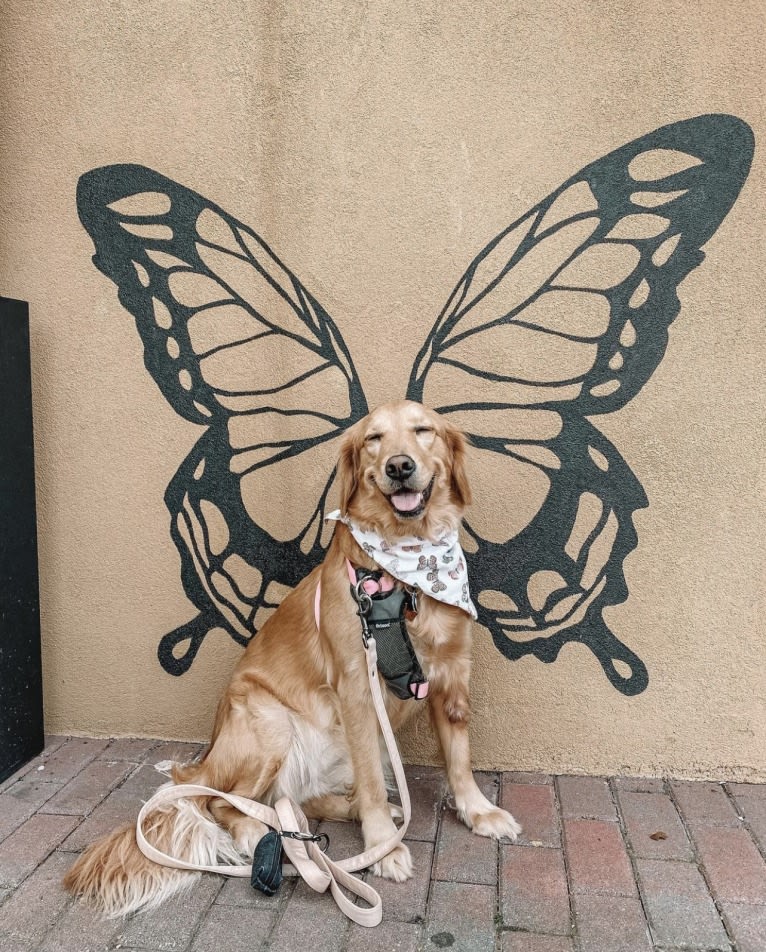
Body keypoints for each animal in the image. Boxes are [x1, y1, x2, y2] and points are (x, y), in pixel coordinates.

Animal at [64, 400, 520, 916]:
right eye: (374, 439)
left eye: (423, 430)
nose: (399, 467)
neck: (408, 569)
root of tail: (203, 763)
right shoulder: (357, 687)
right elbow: (373, 781)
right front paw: (384, 846)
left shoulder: (451, 675)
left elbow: (459, 760)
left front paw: (478, 811)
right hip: (270, 724)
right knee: (223, 801)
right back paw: (254, 831)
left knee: (300, 800)